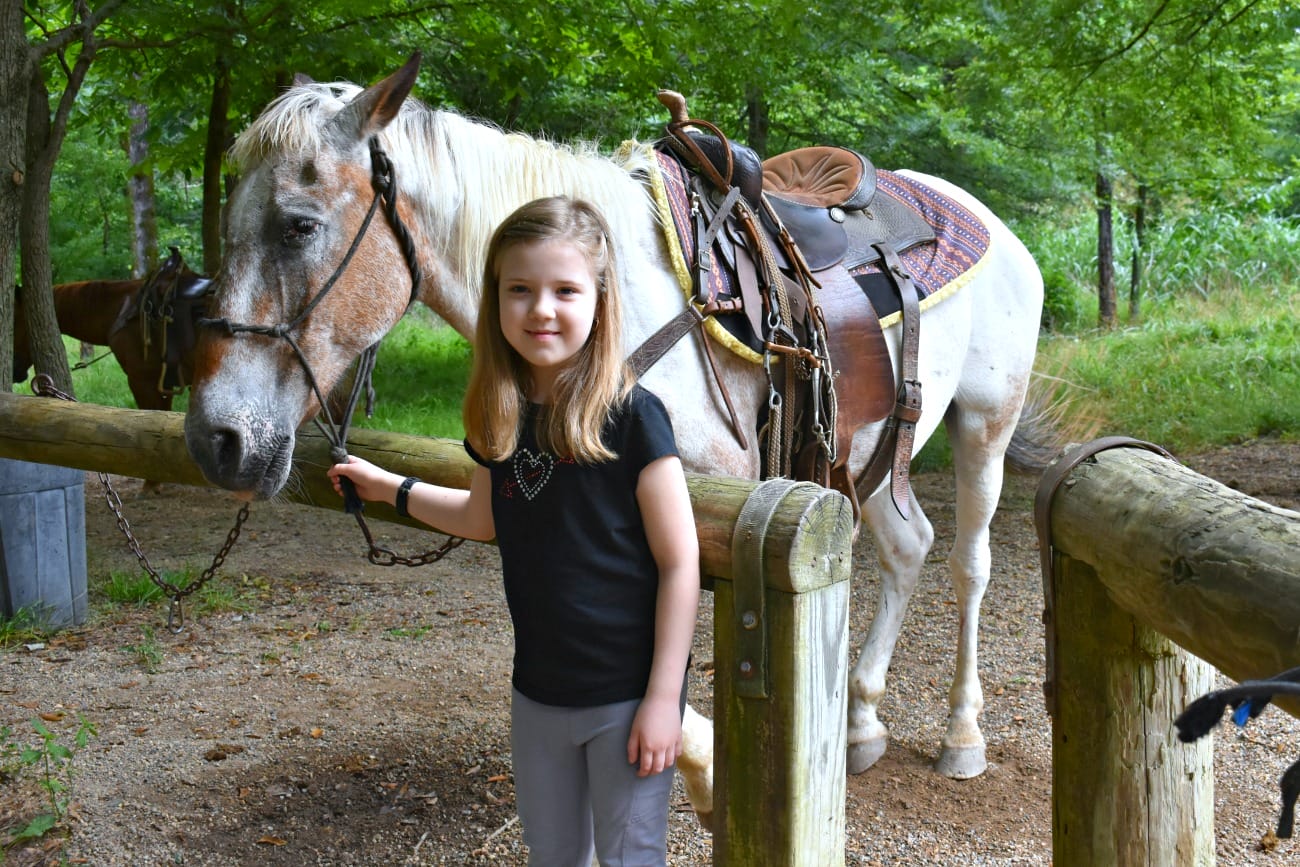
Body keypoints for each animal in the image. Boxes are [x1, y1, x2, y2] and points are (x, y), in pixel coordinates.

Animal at [182, 57, 1052, 827]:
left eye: (299, 226)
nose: (216, 438)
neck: (611, 309)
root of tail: (992, 224)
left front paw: (705, 781)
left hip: (984, 423)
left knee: (968, 561)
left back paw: (961, 735)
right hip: (865, 452)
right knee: (909, 547)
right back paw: (863, 721)